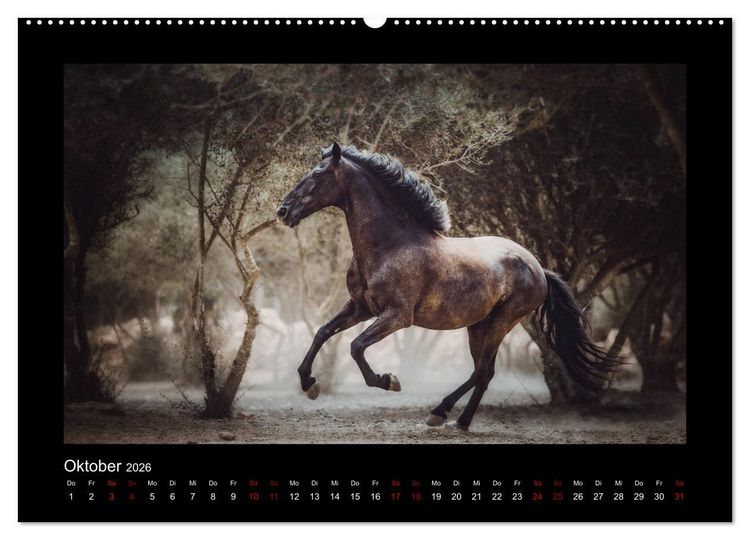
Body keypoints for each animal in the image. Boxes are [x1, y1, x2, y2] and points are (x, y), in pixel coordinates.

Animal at [277, 142, 617, 431]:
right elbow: (323, 332)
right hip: (478, 326)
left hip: (502, 323)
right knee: (484, 374)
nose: (283, 211)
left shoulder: (397, 316)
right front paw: (309, 384)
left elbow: (356, 346)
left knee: (481, 372)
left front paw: (388, 380)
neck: (390, 245)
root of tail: (538, 268)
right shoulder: (360, 307)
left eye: (318, 174)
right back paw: (457, 420)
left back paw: (442, 413)